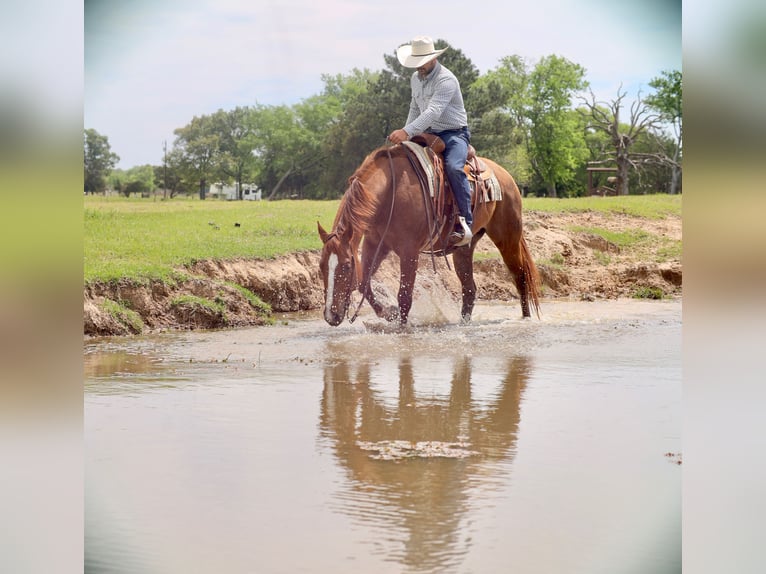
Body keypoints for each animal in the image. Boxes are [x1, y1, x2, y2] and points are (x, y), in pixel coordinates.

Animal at [317, 142, 541, 327]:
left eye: (346, 266)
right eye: (321, 266)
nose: (330, 316)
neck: (390, 192)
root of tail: (505, 176)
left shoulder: (409, 251)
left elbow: (404, 296)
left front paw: (401, 327)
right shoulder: (375, 243)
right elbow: (364, 283)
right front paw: (389, 313)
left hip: (508, 239)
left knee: (520, 277)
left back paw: (526, 319)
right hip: (464, 249)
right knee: (469, 289)